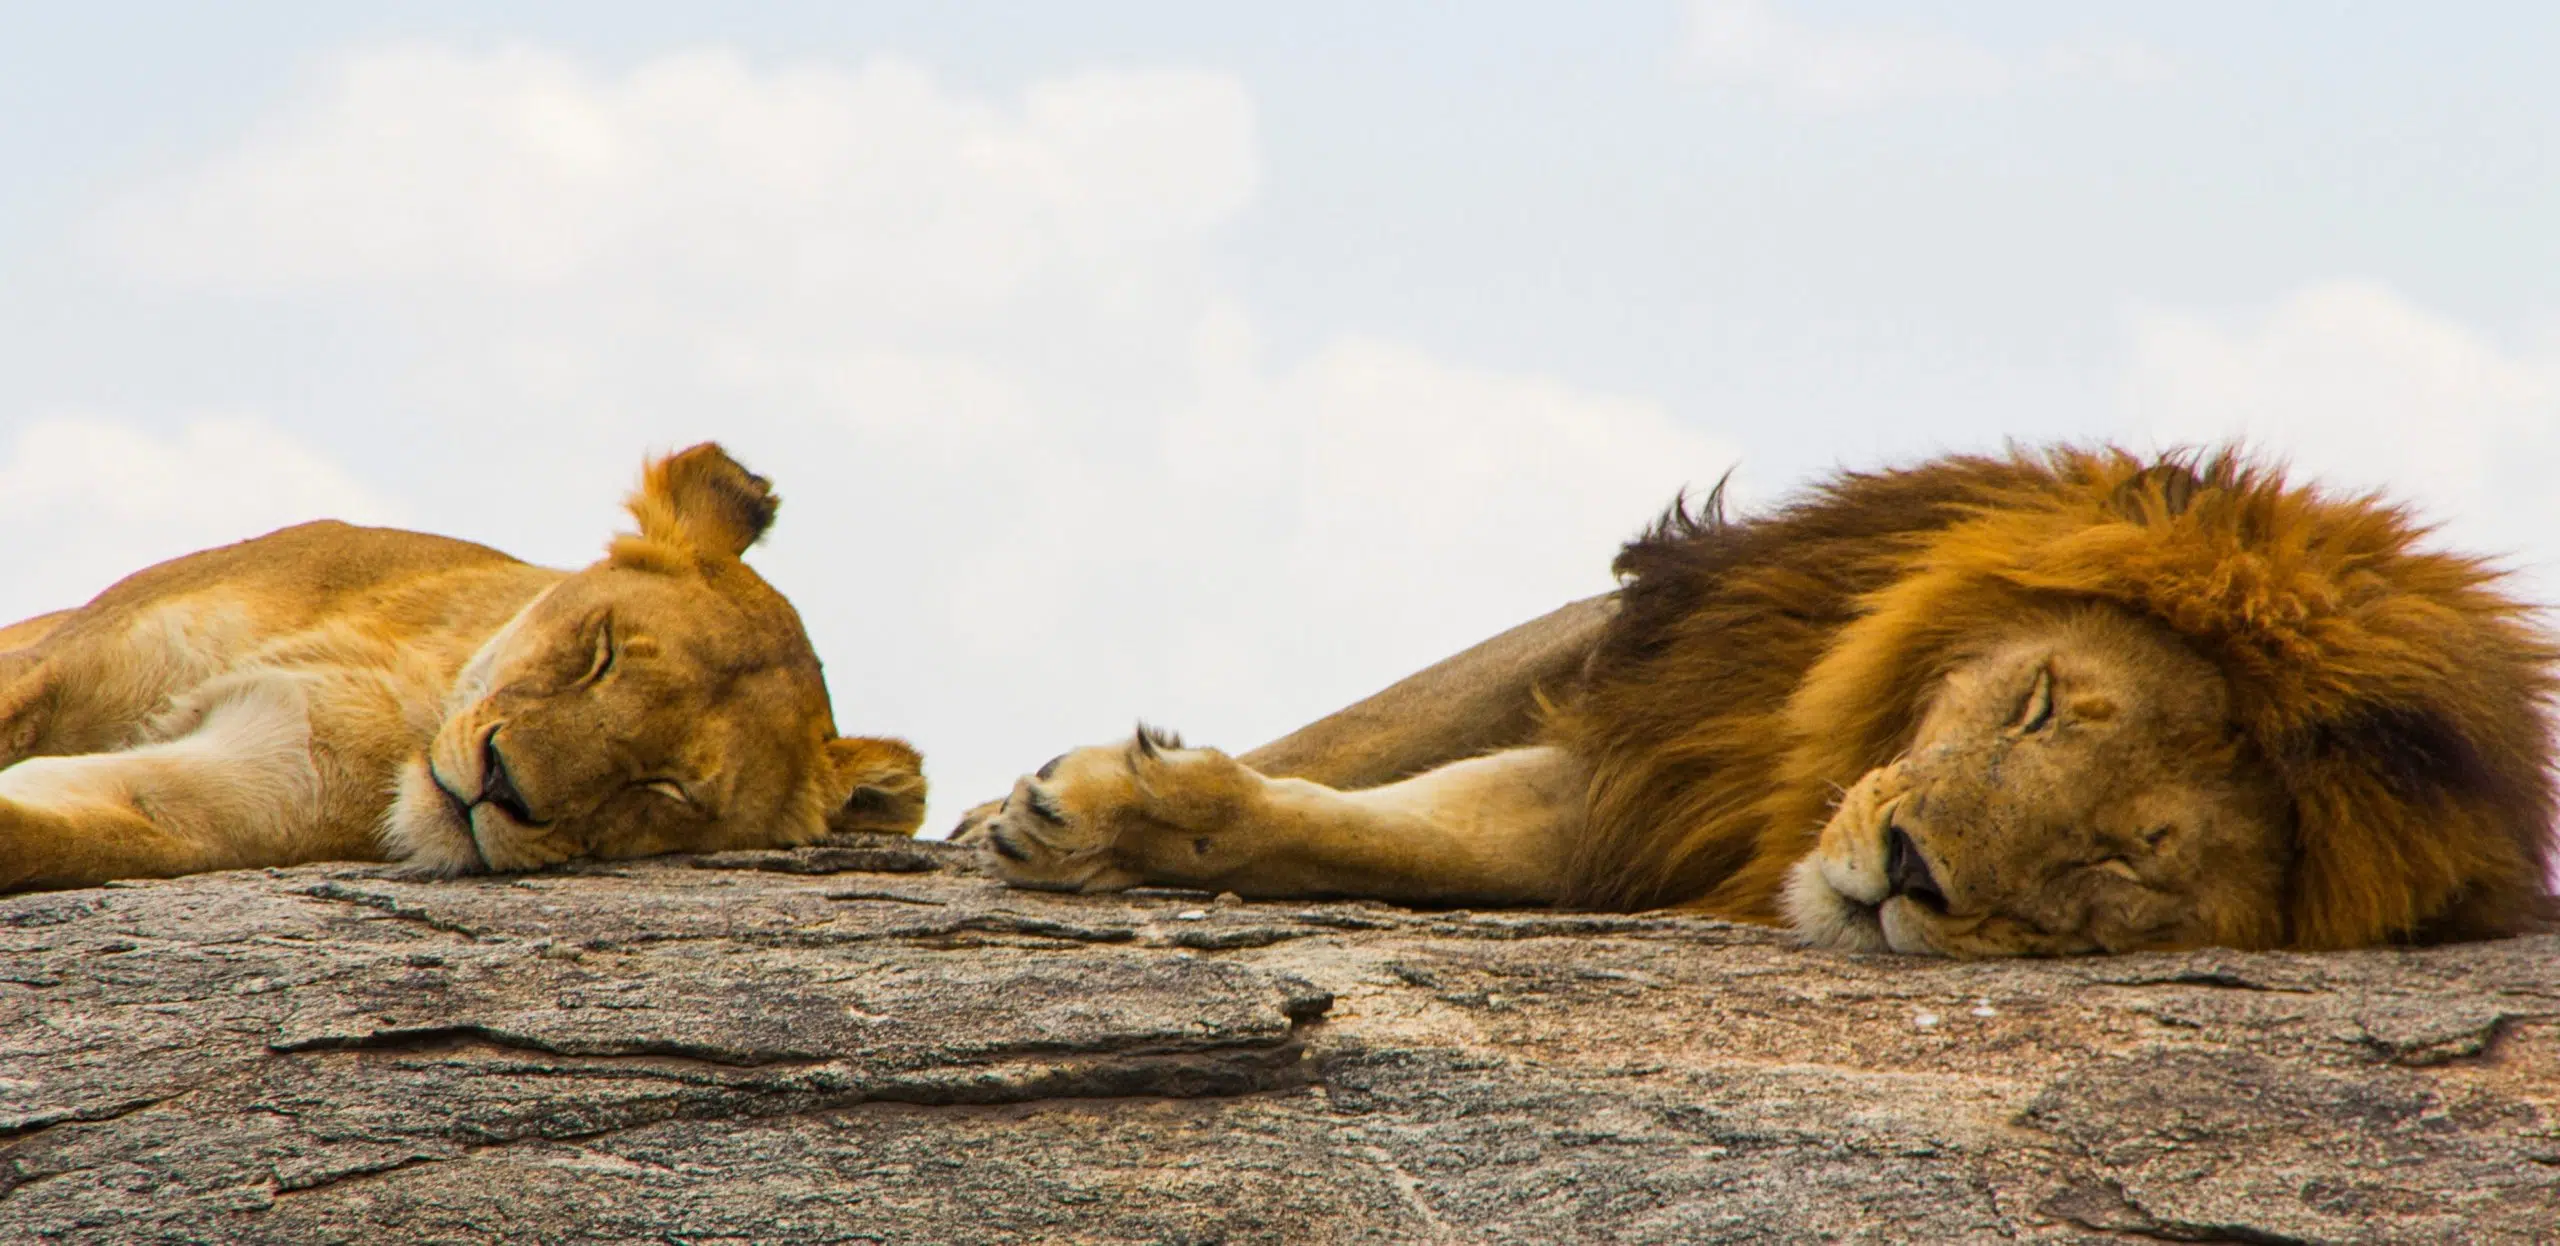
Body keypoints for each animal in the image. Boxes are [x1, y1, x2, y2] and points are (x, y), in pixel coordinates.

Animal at [0, 443, 926, 892]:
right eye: (602, 650)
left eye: (664, 790)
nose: (501, 784)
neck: (415, 692)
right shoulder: (60, 664)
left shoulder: (203, 807)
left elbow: (47, 836)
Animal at [961, 447, 2558, 956]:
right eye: (2042, 704)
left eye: (2127, 859)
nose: (1906, 868)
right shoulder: (1663, 693)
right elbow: (1362, 748)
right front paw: (1055, 813)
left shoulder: (1628, 813)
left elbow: (1395, 836)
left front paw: (1118, 815)